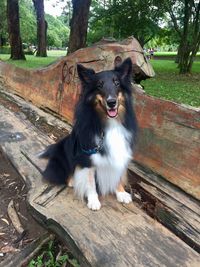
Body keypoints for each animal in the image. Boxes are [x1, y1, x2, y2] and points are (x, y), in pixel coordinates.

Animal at [40, 58, 138, 211]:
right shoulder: (87, 158)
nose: (112, 102)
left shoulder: (120, 151)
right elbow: (90, 182)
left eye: (117, 83)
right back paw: (72, 180)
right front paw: (93, 200)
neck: (108, 123)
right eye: (99, 85)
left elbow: (118, 174)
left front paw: (121, 192)